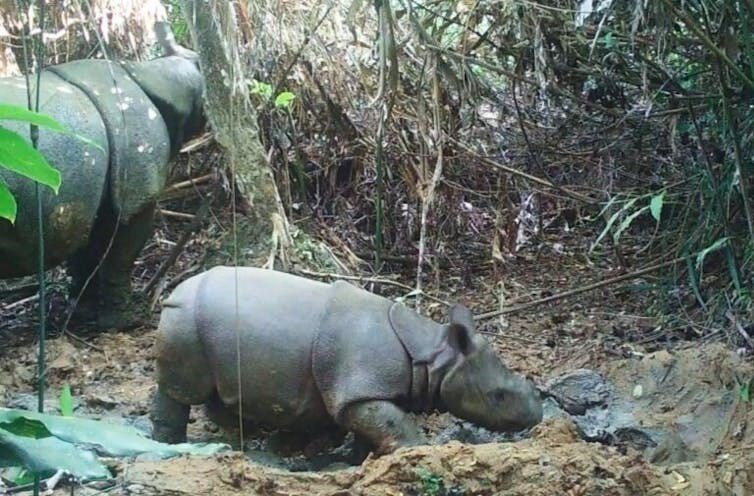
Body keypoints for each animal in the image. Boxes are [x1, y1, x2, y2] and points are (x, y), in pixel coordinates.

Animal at [0, 28, 204, 329]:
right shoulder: (136, 192)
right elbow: (121, 254)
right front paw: (127, 321)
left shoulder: (85, 195)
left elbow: (85, 253)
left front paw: (81, 313)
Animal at [151, 266, 543, 454]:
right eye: (498, 397)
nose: (536, 415)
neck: (434, 357)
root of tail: (173, 291)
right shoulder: (359, 389)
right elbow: (390, 422)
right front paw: (420, 450)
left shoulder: (362, 390)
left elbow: (377, 424)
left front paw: (356, 457)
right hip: (185, 321)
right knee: (181, 390)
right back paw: (171, 445)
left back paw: (249, 438)